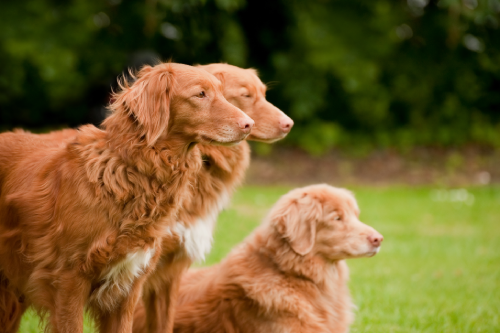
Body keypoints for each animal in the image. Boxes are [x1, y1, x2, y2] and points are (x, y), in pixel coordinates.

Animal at [0, 62, 254, 332]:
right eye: (200, 94)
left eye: (221, 93)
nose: (249, 124)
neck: (131, 174)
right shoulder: (67, 283)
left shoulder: (127, 288)